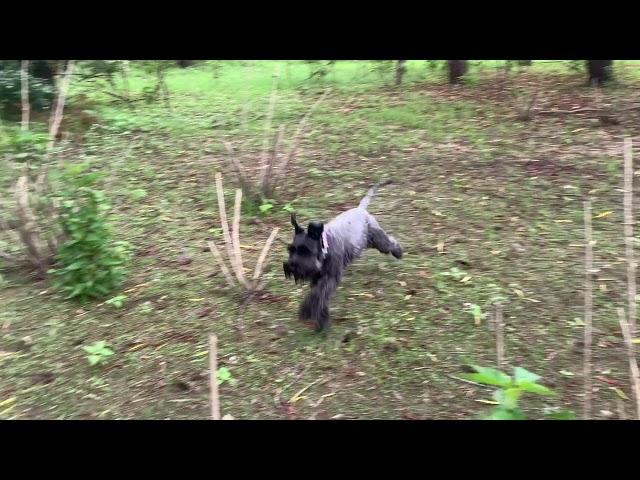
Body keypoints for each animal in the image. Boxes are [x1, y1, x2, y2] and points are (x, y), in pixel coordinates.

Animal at [284, 178, 402, 332]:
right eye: (291, 250)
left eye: (305, 251)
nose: (291, 266)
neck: (326, 246)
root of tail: (361, 209)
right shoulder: (317, 278)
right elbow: (316, 295)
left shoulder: (330, 278)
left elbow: (318, 295)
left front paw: (314, 316)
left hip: (377, 239)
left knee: (389, 243)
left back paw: (399, 252)